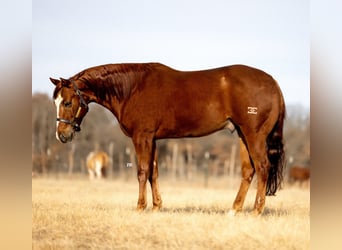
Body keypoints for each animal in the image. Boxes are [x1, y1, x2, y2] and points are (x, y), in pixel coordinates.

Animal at [50, 62, 286, 215]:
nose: (62, 135)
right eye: (56, 102)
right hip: (242, 135)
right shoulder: (152, 139)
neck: (131, 87)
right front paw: (156, 206)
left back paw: (256, 210)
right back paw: (234, 209)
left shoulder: (142, 136)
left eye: (68, 102)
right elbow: (153, 172)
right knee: (249, 171)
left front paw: (140, 207)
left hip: (254, 135)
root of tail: (273, 82)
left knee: (263, 167)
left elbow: (142, 171)